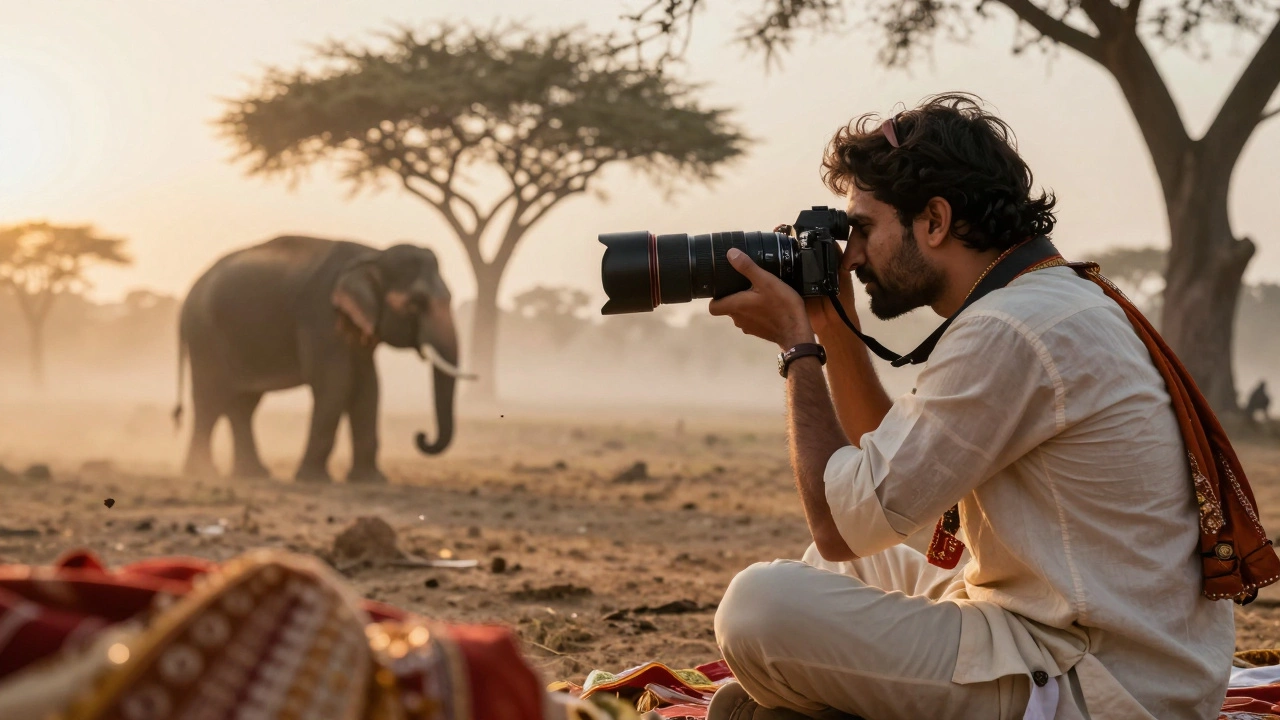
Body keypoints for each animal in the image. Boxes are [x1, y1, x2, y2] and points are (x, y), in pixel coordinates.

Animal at [173, 235, 466, 483]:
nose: (421, 436)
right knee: (210, 399)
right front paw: (312, 479)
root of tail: (187, 295)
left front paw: (371, 481)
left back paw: (253, 474)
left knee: (243, 403)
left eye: (449, 298)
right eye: (416, 303)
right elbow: (335, 383)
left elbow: (368, 386)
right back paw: (202, 473)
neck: (373, 254)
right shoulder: (321, 315)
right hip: (205, 335)